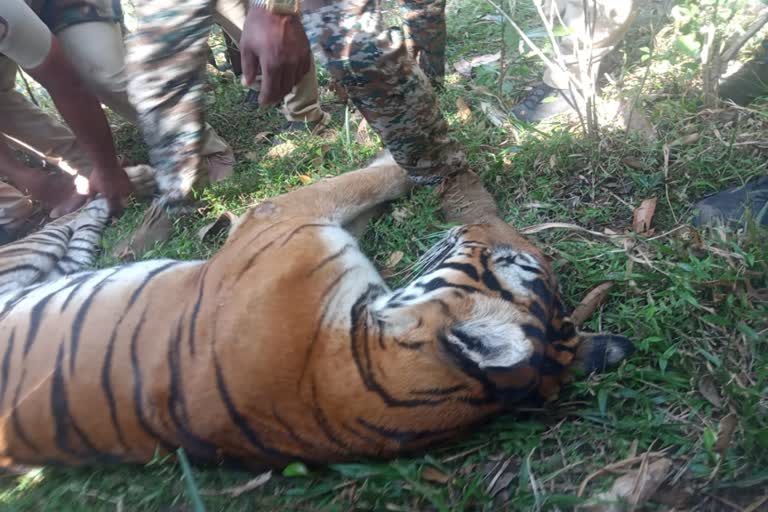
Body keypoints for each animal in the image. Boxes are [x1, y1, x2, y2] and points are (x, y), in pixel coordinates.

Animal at [0, 155, 632, 468]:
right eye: (513, 255)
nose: (480, 221)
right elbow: (359, 194)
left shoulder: (286, 217)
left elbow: (355, 183)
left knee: (71, 225)